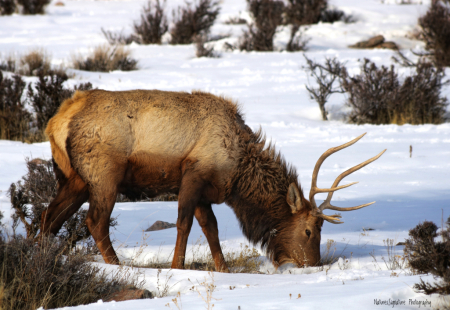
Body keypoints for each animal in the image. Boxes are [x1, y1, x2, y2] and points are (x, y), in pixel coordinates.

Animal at [42, 89, 384, 272]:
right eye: (310, 230)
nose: (314, 264)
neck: (238, 174)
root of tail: (56, 121)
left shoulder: (206, 190)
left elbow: (211, 228)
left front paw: (223, 268)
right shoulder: (193, 173)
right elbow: (184, 224)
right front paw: (177, 267)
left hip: (73, 178)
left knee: (49, 218)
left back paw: (38, 256)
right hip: (104, 174)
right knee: (95, 221)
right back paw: (118, 266)